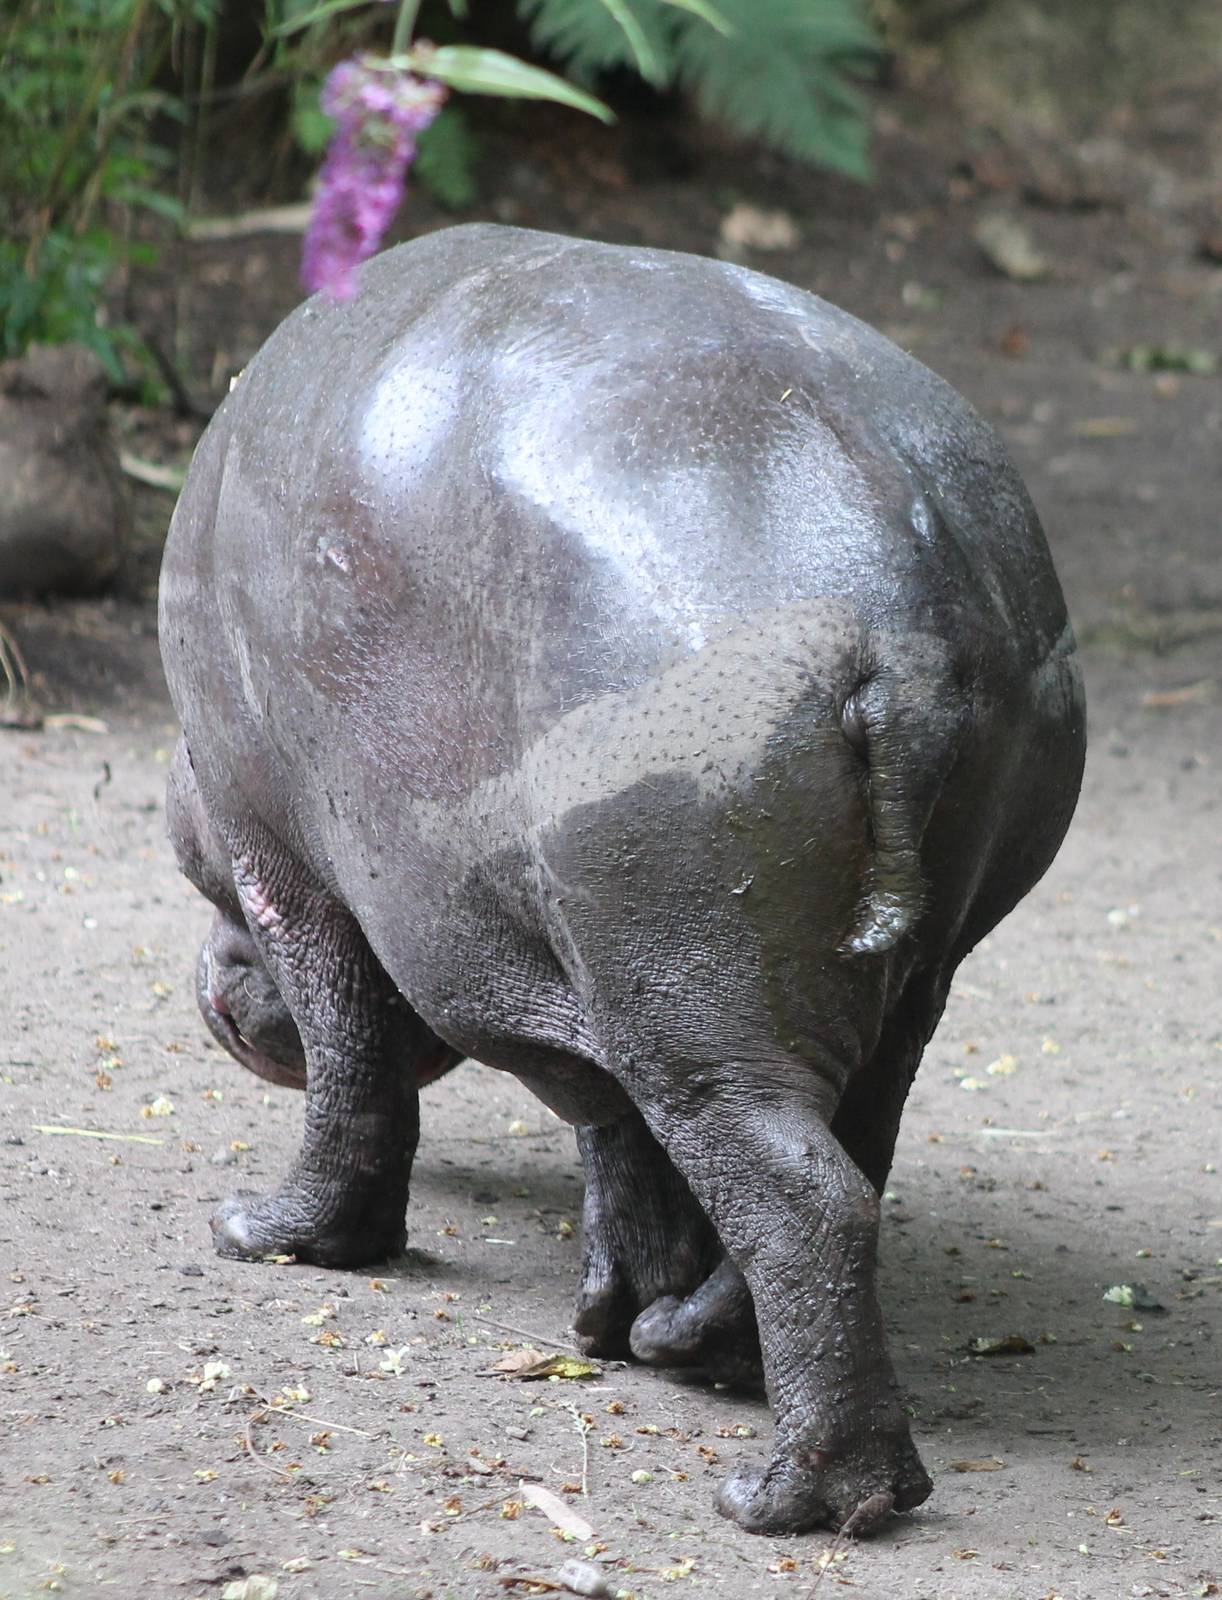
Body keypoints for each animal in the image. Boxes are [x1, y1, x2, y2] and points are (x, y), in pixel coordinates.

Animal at [159, 224, 1085, 1537]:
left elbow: (351, 1057)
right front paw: (607, 1316)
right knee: (845, 1154)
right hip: (835, 974)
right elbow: (611, 1135)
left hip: (692, 983)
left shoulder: (284, 860)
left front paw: (261, 1233)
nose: (209, 988)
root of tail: (899, 624)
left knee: (806, 1199)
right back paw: (686, 1346)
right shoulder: (578, 968)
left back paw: (783, 1498)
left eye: (180, 844)